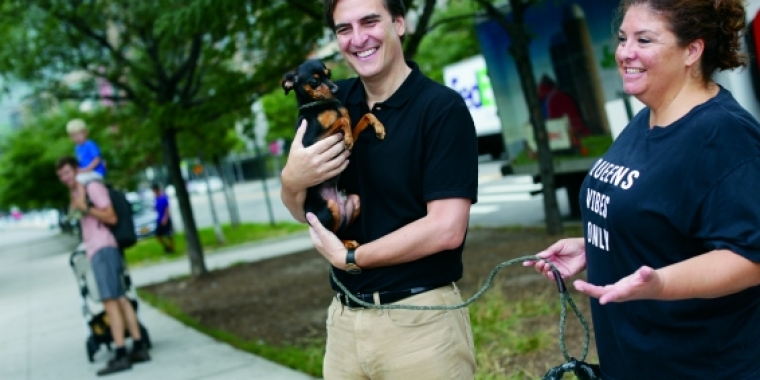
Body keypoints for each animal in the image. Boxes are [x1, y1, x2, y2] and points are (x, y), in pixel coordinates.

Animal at [280, 59, 382, 248]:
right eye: (314, 81)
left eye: (329, 74)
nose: (336, 90)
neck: (324, 105)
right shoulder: (314, 142)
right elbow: (342, 121)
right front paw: (347, 138)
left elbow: (364, 116)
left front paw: (378, 126)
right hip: (329, 209)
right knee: (331, 235)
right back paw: (346, 243)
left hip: (355, 201)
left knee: (339, 230)